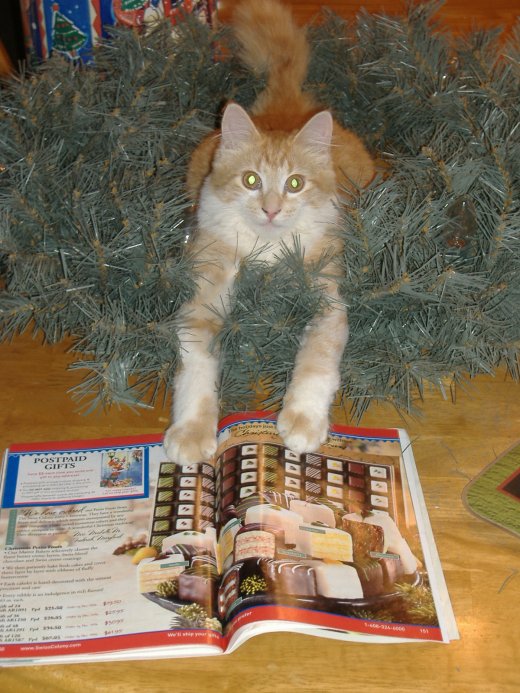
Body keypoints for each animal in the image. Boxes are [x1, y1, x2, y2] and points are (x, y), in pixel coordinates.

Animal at [163, 0, 374, 465]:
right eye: (251, 181)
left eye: (295, 183)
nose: (272, 210)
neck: (268, 252)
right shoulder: (202, 300)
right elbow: (196, 371)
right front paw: (191, 431)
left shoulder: (328, 298)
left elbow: (316, 362)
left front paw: (303, 420)